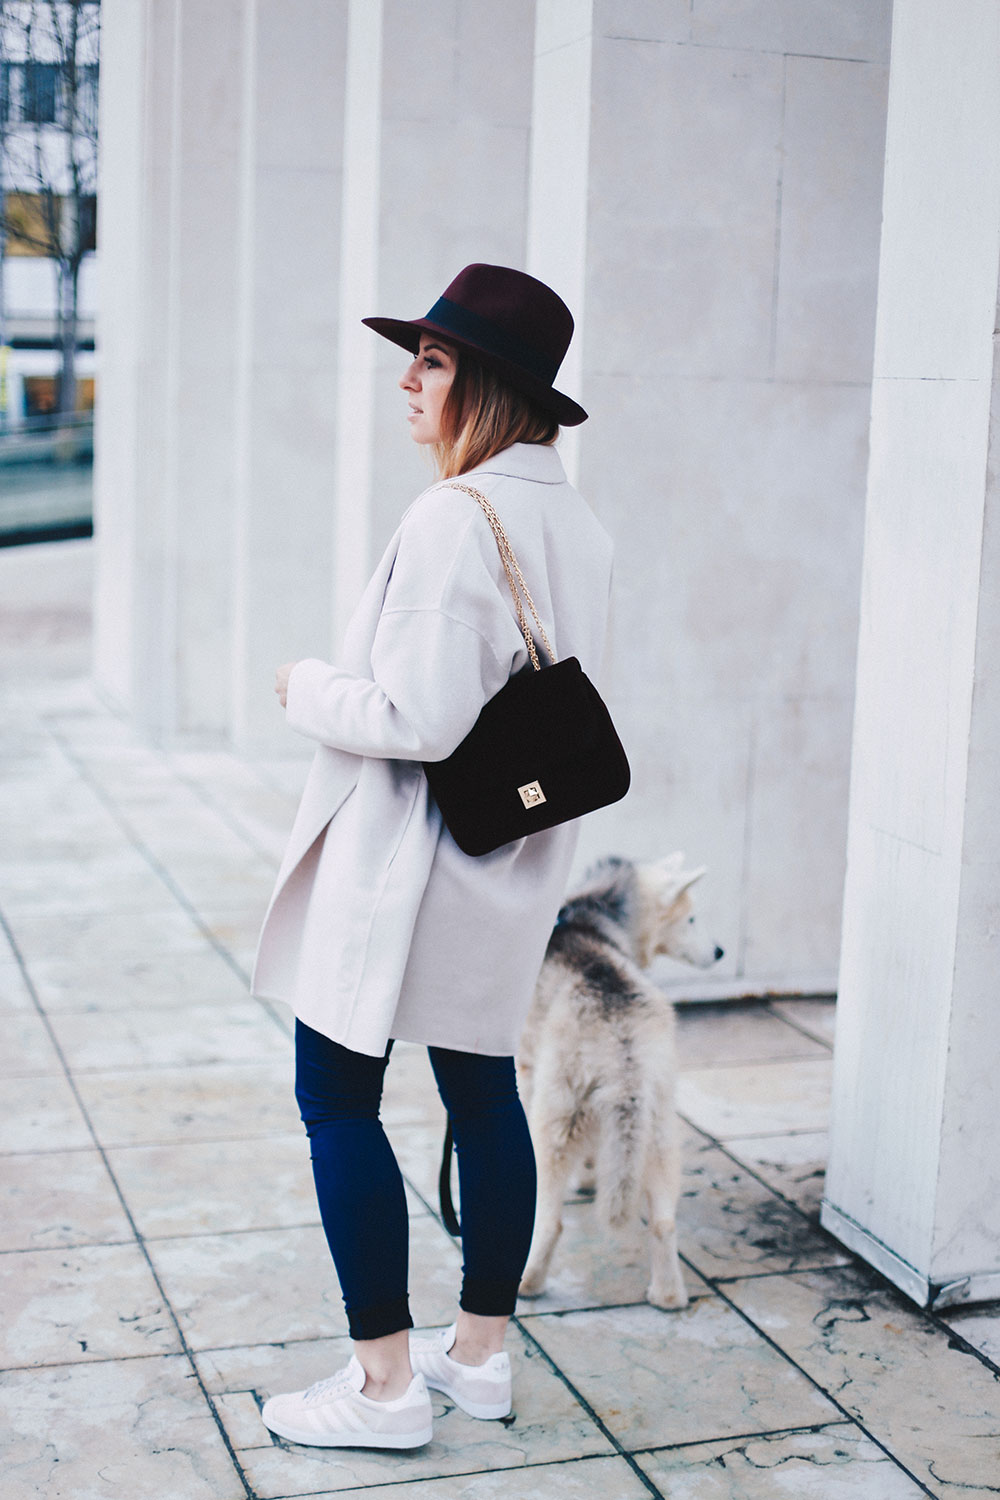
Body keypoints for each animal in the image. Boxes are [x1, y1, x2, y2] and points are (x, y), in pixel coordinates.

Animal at [521, 858, 722, 1314]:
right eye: (691, 919)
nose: (721, 951)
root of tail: (623, 1042)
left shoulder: (524, 1065)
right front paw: (591, 1178)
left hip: (555, 1120)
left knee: (549, 1222)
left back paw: (527, 1283)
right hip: (658, 1128)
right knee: (664, 1222)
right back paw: (668, 1295)